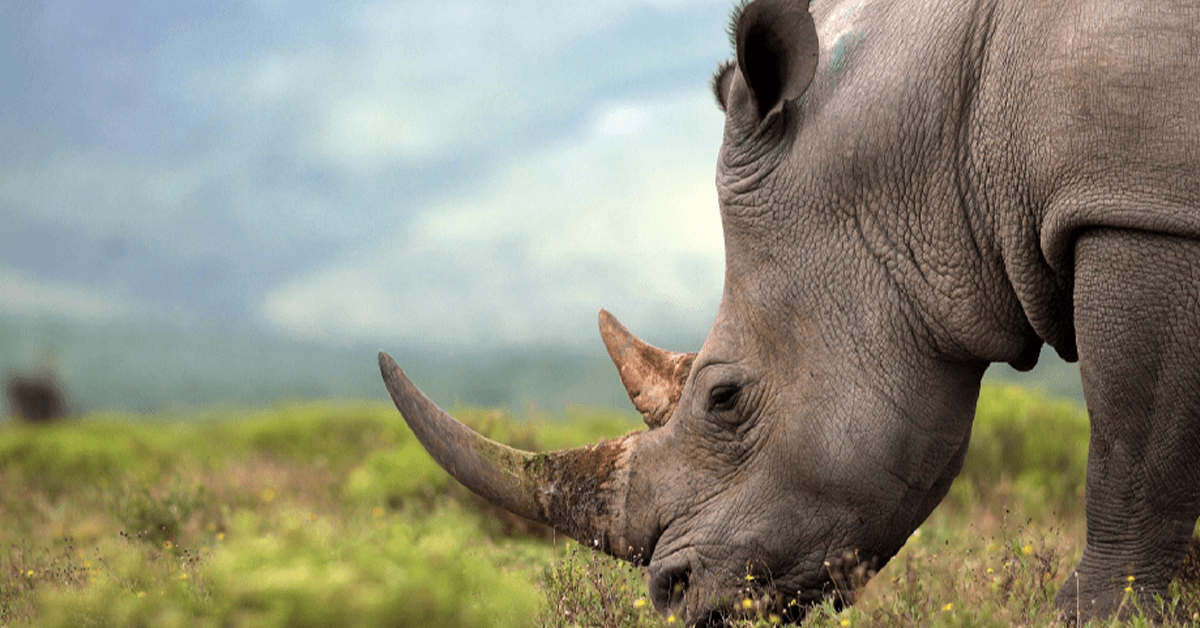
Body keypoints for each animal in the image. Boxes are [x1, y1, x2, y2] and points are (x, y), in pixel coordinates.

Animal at [378, 0, 1200, 623]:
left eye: (724, 398)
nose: (670, 595)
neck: (944, 141)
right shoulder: (1140, 200)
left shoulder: (1137, 209)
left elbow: (1130, 447)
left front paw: (1094, 616)